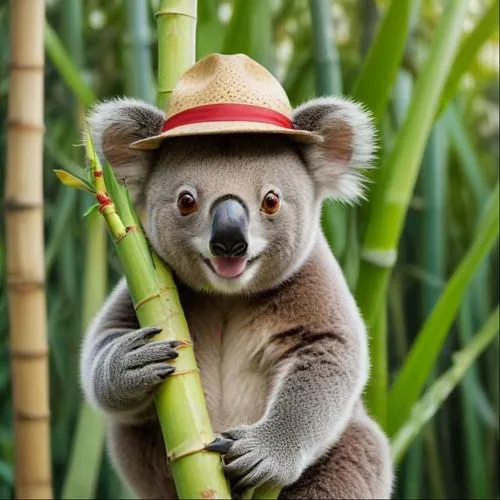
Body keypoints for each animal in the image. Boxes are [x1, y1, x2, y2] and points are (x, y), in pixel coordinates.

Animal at [81, 95, 394, 498]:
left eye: (271, 201)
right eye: (186, 201)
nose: (229, 240)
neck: (228, 297)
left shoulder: (315, 289)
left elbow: (328, 358)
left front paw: (261, 452)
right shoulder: (146, 288)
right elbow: (103, 342)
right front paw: (131, 362)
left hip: (348, 456)